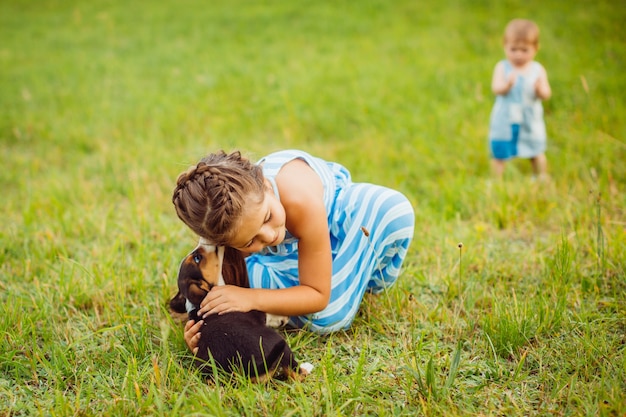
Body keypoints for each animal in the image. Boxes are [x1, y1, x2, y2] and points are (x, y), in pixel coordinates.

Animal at [168, 237, 312, 380]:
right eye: (197, 258)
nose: (203, 240)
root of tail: (253, 366)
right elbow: (267, 314)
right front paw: (281, 318)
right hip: (282, 347)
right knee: (295, 373)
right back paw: (306, 368)